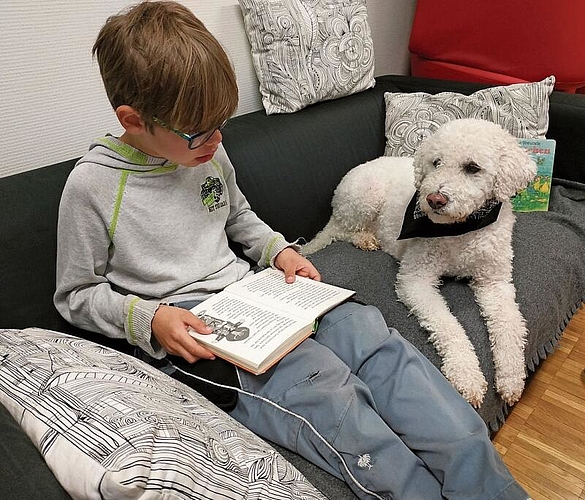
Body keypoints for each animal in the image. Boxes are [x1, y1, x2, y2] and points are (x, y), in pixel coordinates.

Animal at [304, 119, 536, 408]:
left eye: (473, 168)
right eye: (436, 162)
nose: (435, 199)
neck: (462, 229)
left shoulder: (494, 282)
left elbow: (510, 325)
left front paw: (512, 378)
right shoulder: (416, 280)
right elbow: (447, 326)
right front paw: (467, 375)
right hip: (364, 199)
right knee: (341, 230)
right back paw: (364, 239)